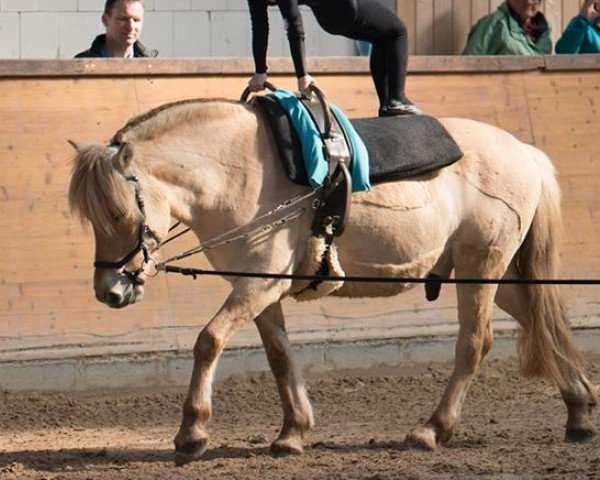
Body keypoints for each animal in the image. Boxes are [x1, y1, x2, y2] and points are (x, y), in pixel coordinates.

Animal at [69, 96, 596, 464]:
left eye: (120, 212)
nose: (110, 290)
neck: (241, 170)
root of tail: (523, 151)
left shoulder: (256, 287)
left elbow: (208, 341)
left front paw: (192, 433)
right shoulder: (261, 287)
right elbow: (279, 356)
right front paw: (293, 432)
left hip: (480, 268)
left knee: (475, 342)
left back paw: (433, 429)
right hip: (492, 275)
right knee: (540, 324)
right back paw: (579, 410)